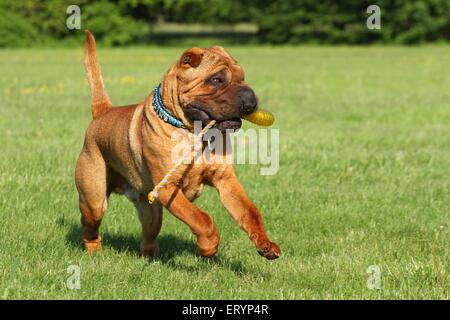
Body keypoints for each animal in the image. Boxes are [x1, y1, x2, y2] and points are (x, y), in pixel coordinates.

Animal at [76, 30, 282, 260]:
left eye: (242, 78)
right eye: (216, 79)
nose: (251, 101)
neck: (194, 133)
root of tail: (102, 111)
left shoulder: (226, 180)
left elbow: (250, 212)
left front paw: (265, 244)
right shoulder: (169, 188)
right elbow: (201, 218)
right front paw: (209, 246)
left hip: (151, 211)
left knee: (148, 236)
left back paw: (152, 257)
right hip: (94, 199)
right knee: (89, 226)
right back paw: (94, 251)